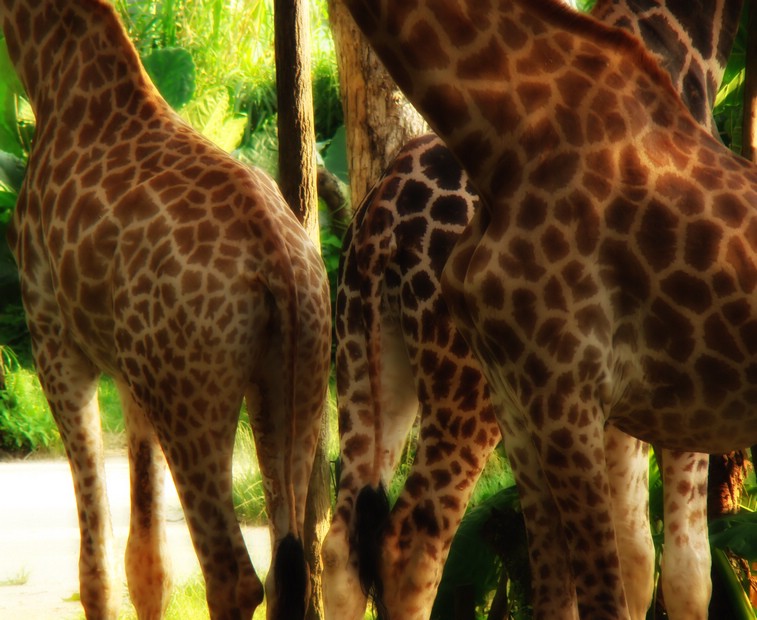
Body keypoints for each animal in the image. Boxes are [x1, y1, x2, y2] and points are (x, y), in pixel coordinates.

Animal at [1, 1, 330, 620]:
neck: (52, 72)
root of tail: (278, 259)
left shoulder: (55, 340)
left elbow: (98, 569)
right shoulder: (133, 378)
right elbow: (147, 564)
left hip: (189, 398)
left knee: (234, 578)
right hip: (297, 382)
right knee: (287, 569)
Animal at [342, 0, 752, 616]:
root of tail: (381, 221)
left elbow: (635, 558)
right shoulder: (662, 401)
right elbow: (680, 568)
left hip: (365, 363)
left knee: (341, 546)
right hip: (466, 396)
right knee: (413, 545)